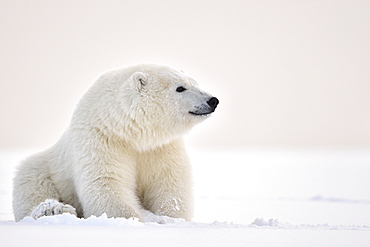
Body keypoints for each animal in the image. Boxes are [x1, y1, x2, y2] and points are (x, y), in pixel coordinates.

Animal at [13, 63, 218, 222]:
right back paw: (54, 210)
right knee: (33, 190)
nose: (212, 100)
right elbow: (106, 181)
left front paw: (169, 218)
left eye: (195, 83)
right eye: (180, 88)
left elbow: (169, 182)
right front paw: (132, 218)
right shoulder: (100, 138)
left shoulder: (161, 147)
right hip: (43, 169)